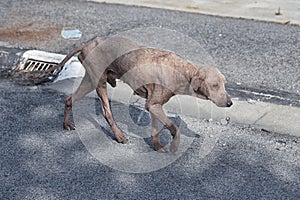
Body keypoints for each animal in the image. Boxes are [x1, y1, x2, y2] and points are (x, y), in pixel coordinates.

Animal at [59, 36, 232, 152]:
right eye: (215, 85)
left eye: (225, 83)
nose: (230, 103)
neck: (182, 71)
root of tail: (86, 45)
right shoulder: (153, 105)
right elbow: (175, 128)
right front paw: (174, 147)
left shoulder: (154, 106)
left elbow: (156, 129)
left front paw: (157, 146)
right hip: (98, 82)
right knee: (106, 111)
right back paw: (119, 136)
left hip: (90, 81)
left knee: (69, 100)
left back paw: (66, 124)